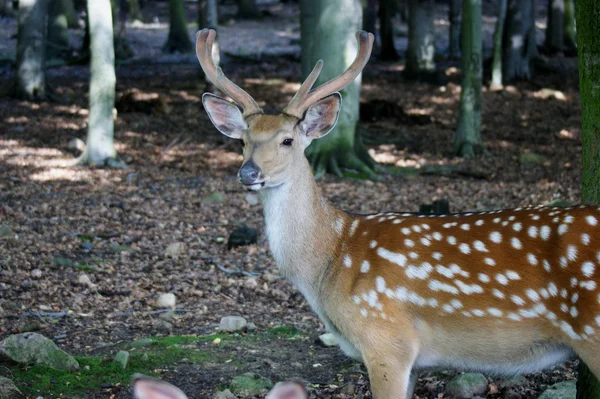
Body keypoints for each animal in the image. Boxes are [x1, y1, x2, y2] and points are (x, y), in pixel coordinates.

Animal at [196, 28, 600, 399]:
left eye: (288, 140)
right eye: (243, 140)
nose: (248, 173)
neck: (330, 264)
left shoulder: (386, 339)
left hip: (593, 330)